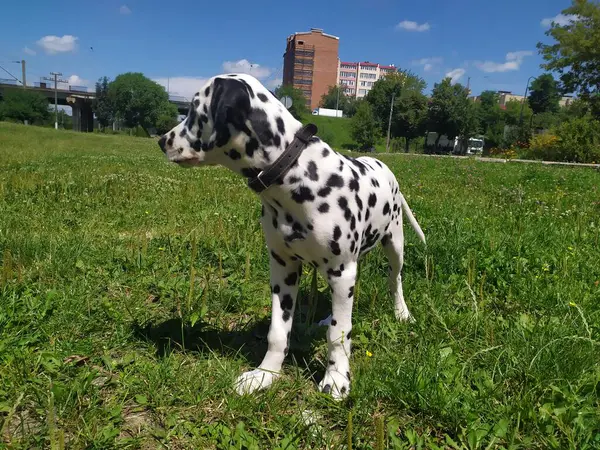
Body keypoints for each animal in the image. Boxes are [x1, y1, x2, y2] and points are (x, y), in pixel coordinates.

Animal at [157, 74, 424, 400]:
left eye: (195, 110)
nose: (162, 141)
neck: (295, 174)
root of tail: (385, 167)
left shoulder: (342, 271)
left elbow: (339, 334)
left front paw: (337, 378)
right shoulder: (283, 269)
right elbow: (278, 331)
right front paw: (265, 374)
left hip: (394, 245)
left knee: (394, 281)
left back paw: (402, 314)